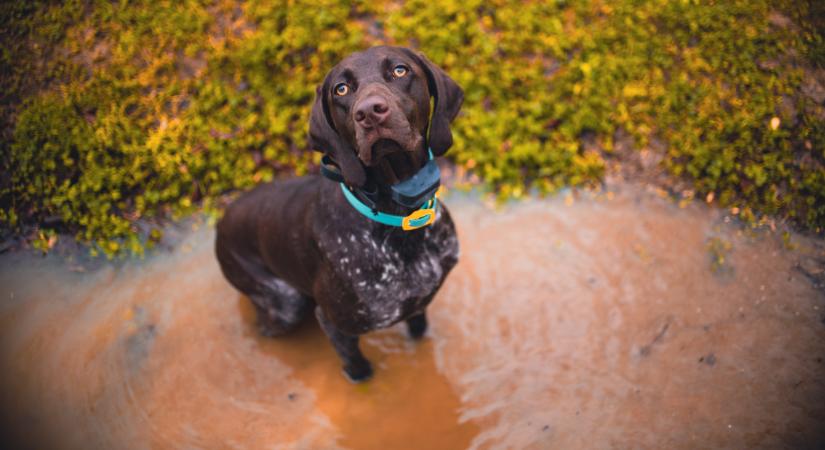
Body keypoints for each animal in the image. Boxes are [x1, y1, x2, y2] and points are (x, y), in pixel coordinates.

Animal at [214, 45, 464, 382]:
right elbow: (358, 370)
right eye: (341, 89)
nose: (369, 112)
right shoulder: (336, 325)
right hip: (286, 303)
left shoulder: (418, 305)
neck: (397, 215)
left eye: (400, 70)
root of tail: (222, 219)